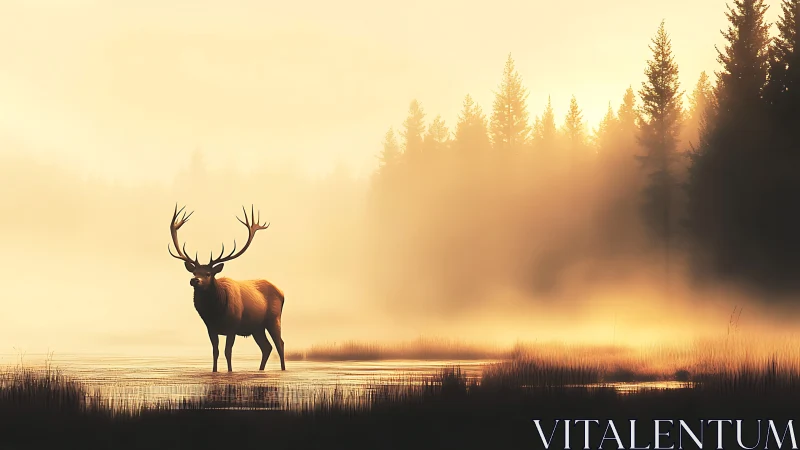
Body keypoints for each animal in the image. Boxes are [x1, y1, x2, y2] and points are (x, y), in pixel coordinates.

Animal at [168, 204, 286, 372]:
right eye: (194, 272)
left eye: (208, 273)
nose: (194, 280)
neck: (215, 312)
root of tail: (282, 292)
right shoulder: (210, 328)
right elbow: (215, 351)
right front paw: (214, 370)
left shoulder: (233, 326)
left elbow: (227, 351)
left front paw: (230, 371)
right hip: (257, 327)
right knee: (266, 347)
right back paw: (260, 370)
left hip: (274, 318)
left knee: (279, 343)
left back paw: (282, 369)